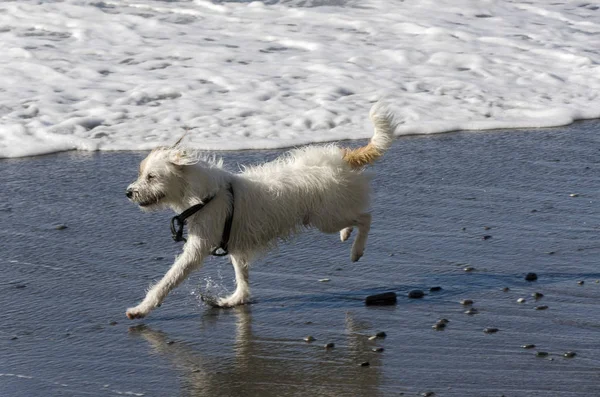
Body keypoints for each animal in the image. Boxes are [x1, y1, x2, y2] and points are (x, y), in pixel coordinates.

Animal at [124, 103, 396, 318]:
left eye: (151, 177)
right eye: (142, 174)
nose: (129, 192)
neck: (205, 195)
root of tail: (341, 158)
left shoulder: (197, 247)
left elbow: (169, 279)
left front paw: (141, 308)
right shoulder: (233, 243)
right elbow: (241, 275)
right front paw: (237, 299)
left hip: (325, 217)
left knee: (366, 217)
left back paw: (356, 250)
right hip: (330, 212)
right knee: (353, 217)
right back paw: (346, 234)